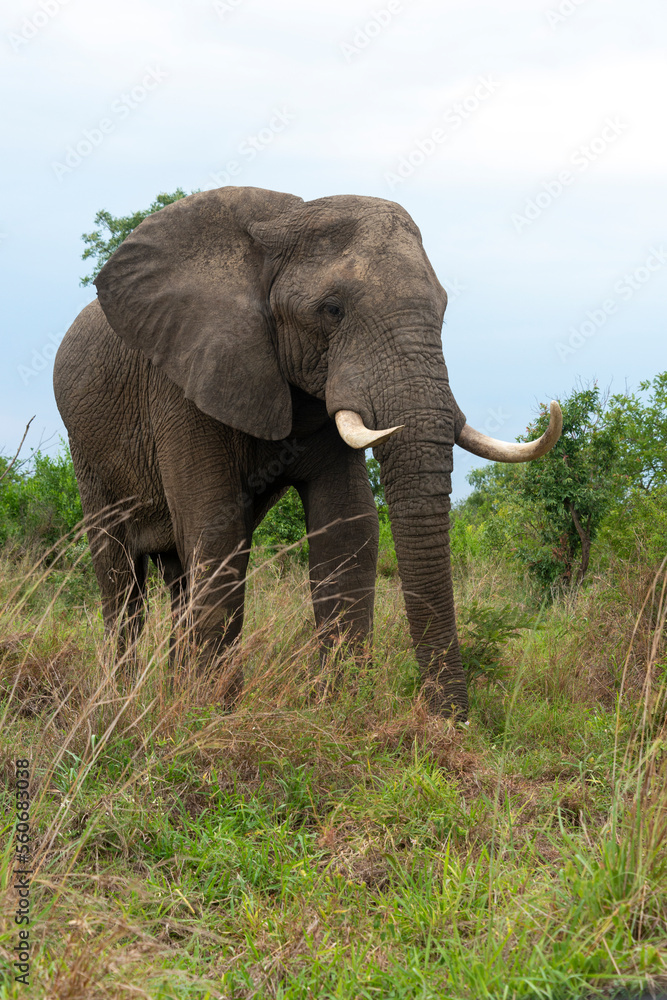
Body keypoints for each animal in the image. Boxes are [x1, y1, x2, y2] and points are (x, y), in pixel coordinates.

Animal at [53, 186, 562, 719]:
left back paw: (167, 692)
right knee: (119, 580)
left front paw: (340, 711)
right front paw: (211, 714)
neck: (281, 222)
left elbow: (348, 527)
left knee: (175, 577)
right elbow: (216, 527)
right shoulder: (182, 381)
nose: (451, 724)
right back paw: (121, 704)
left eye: (443, 307)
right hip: (86, 451)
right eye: (332, 310)